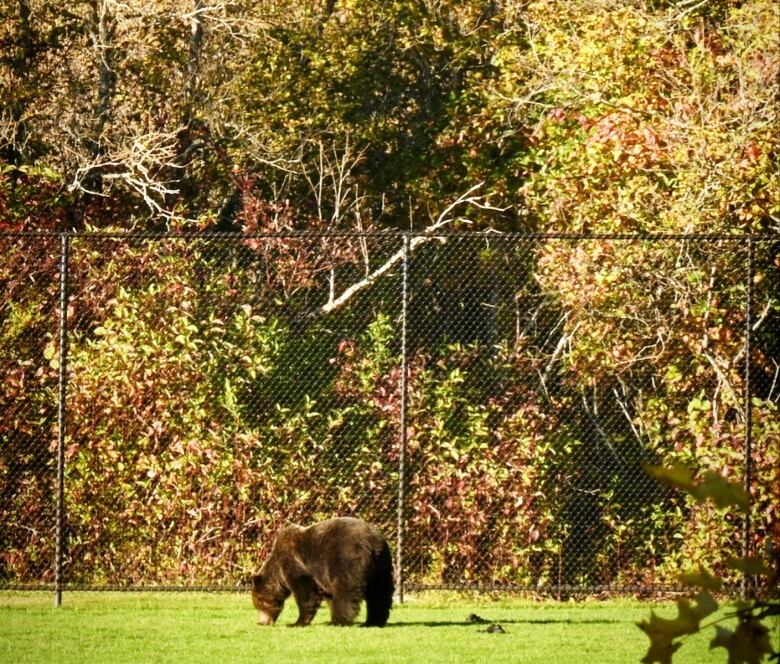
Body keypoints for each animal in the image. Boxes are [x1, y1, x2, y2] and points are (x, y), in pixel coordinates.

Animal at [251, 520, 394, 628]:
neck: (277, 572)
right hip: (382, 566)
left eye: (259, 605)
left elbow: (305, 590)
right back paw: (373, 621)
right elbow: (327, 595)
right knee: (380, 594)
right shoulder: (322, 577)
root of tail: (373, 542)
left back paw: (340, 619)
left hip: (346, 557)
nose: (261, 622)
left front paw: (297, 622)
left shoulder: (293, 562)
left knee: (345, 589)